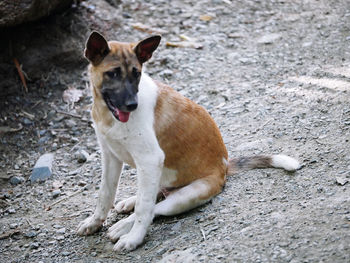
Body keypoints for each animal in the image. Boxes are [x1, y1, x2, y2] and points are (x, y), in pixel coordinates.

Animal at [77, 32, 300, 253]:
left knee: (154, 207)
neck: (107, 114)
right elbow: (105, 194)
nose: (133, 105)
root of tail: (225, 167)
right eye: (112, 74)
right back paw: (129, 202)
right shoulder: (110, 156)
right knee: (152, 193)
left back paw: (123, 226)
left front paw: (134, 238)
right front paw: (94, 222)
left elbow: (144, 208)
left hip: (184, 197)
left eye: (137, 74)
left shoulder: (150, 159)